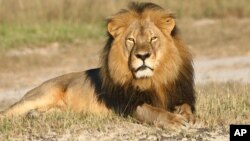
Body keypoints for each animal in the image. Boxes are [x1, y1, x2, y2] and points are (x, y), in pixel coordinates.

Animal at [0, 2, 195, 130]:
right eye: (131, 40)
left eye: (153, 38)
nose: (143, 56)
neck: (153, 79)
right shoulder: (127, 105)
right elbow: (153, 111)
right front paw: (175, 121)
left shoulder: (178, 93)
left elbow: (186, 106)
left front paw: (186, 115)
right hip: (40, 96)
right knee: (6, 112)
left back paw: (35, 115)